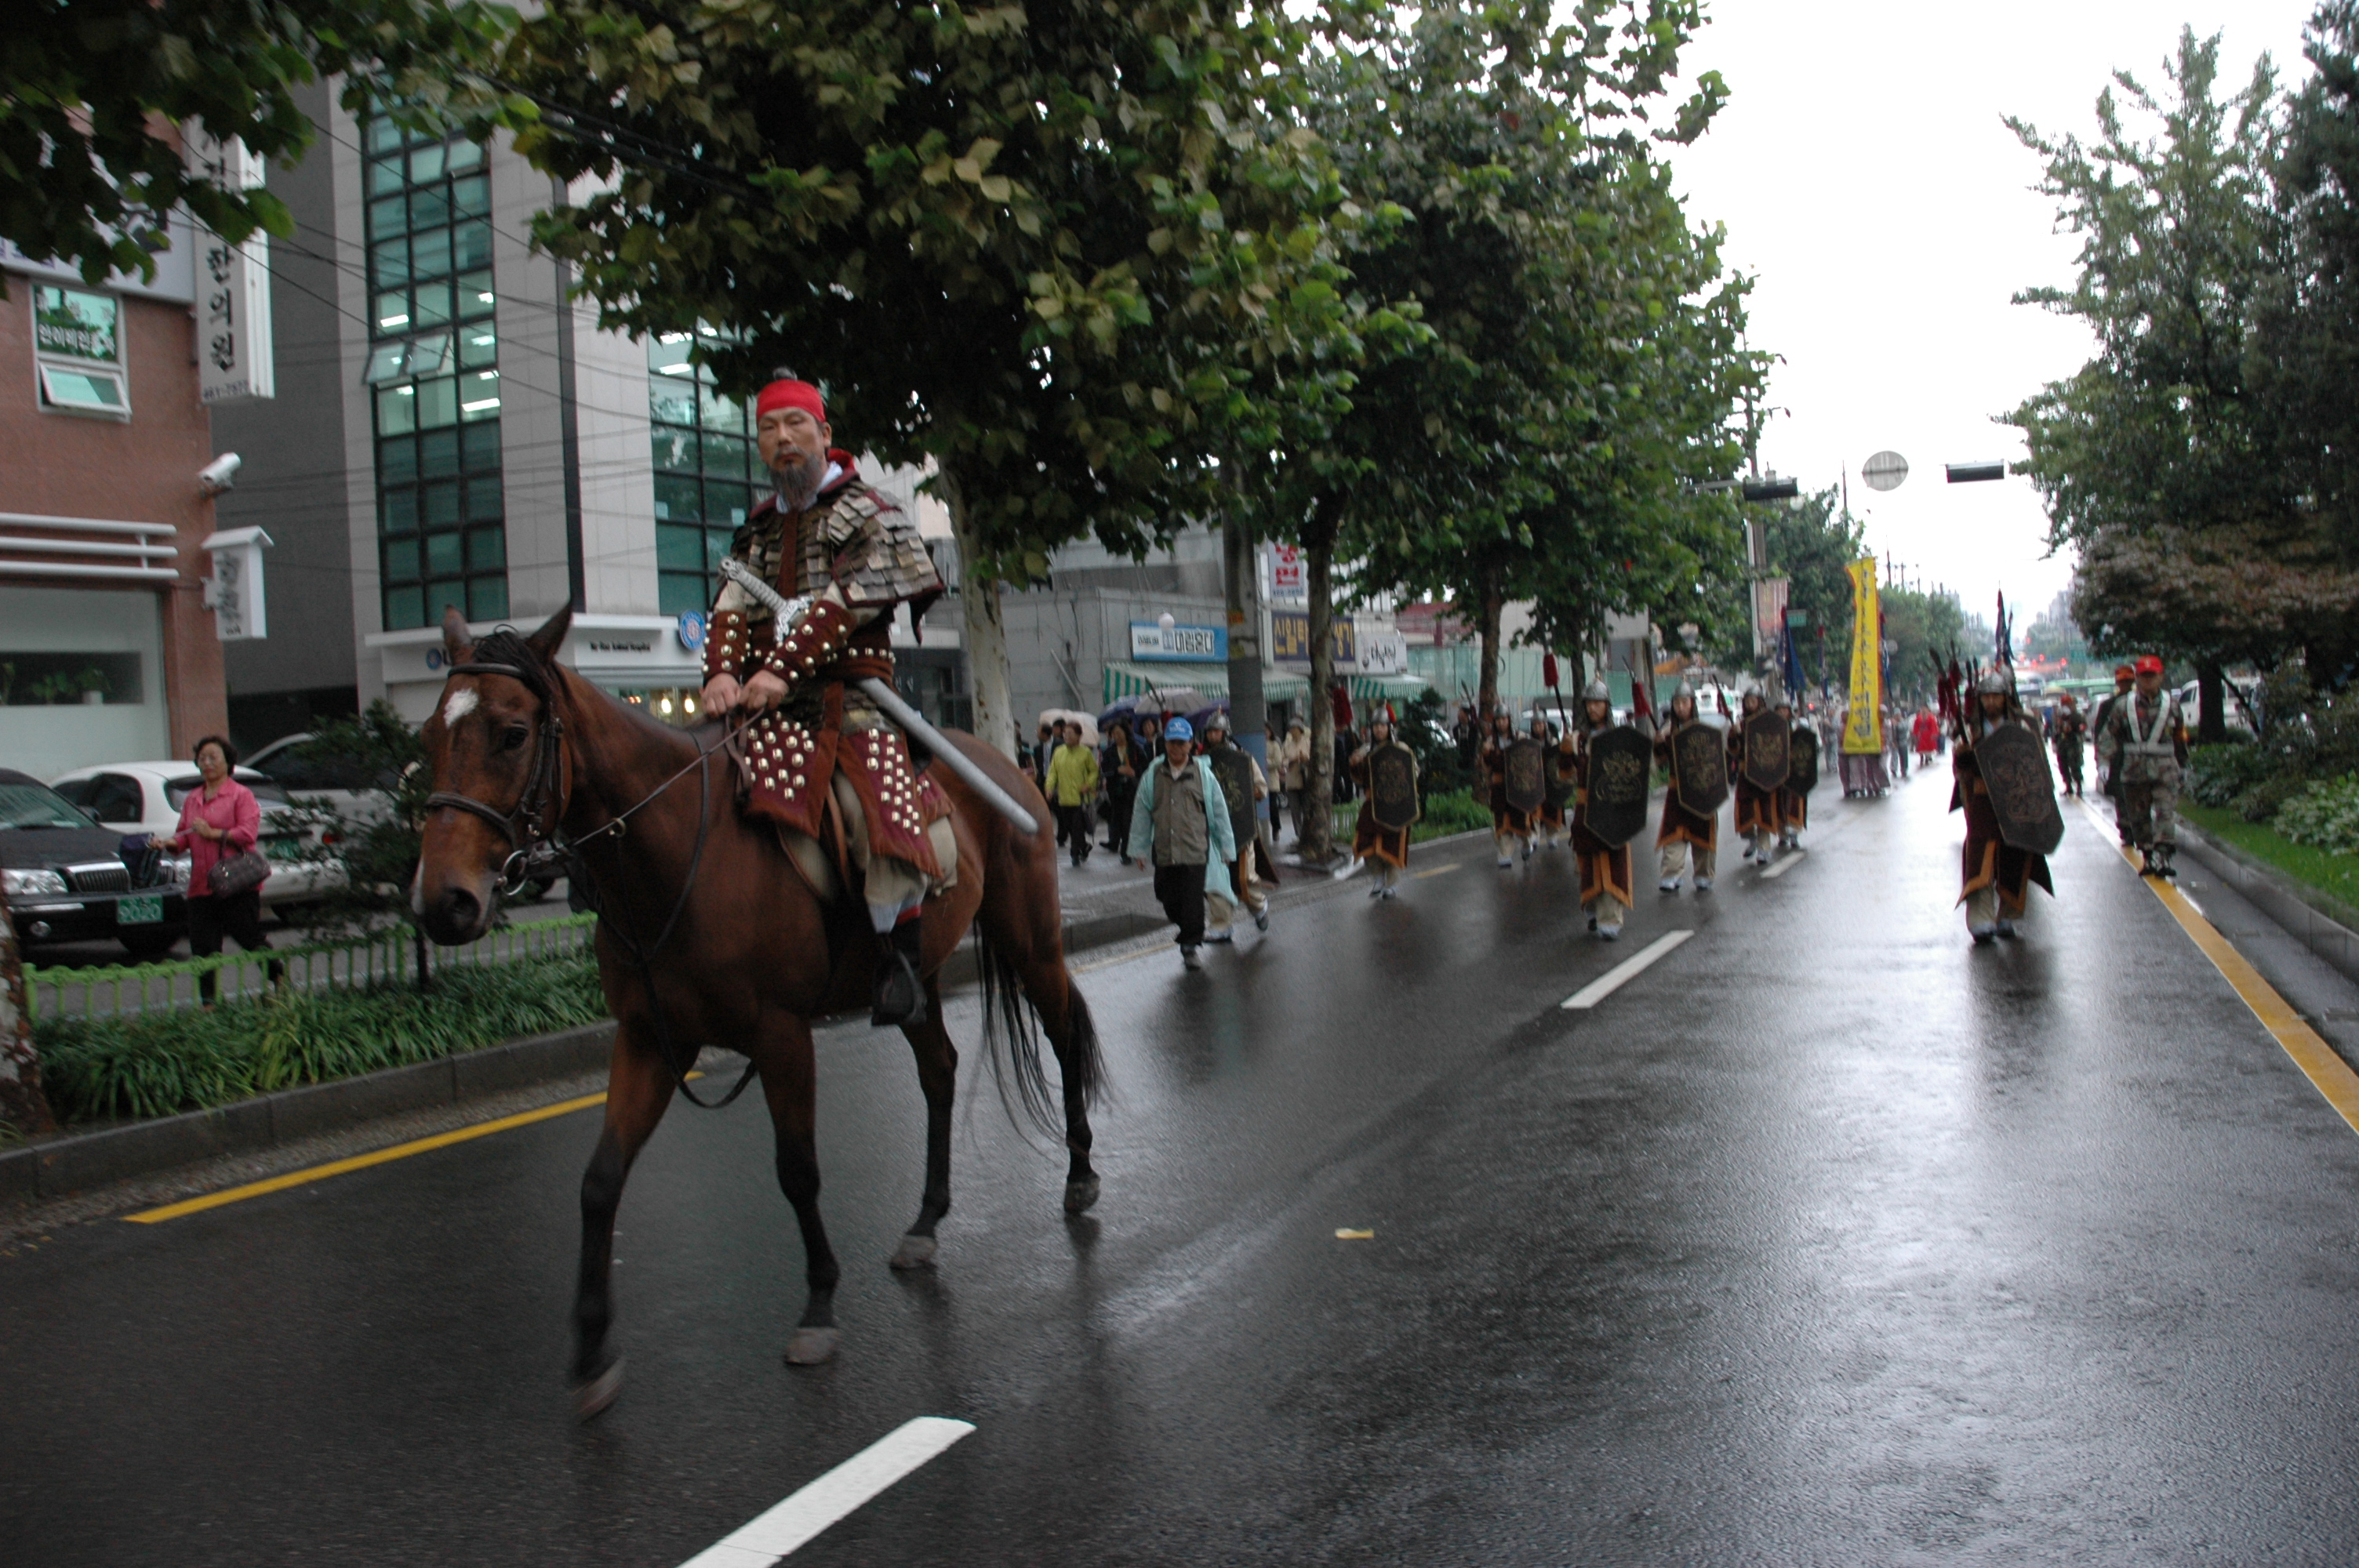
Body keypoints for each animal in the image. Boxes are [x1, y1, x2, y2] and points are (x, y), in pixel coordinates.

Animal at [410, 603, 1099, 1414]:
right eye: (429, 737)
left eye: (513, 733)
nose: (443, 903)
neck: (676, 849)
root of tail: (1008, 766)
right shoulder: (649, 1038)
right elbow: (600, 1181)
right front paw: (590, 1349)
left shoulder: (780, 1034)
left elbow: (796, 1169)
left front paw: (819, 1305)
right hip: (922, 974)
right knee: (939, 1070)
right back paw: (926, 1221)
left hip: (1030, 938)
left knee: (1062, 1034)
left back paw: (1080, 1175)